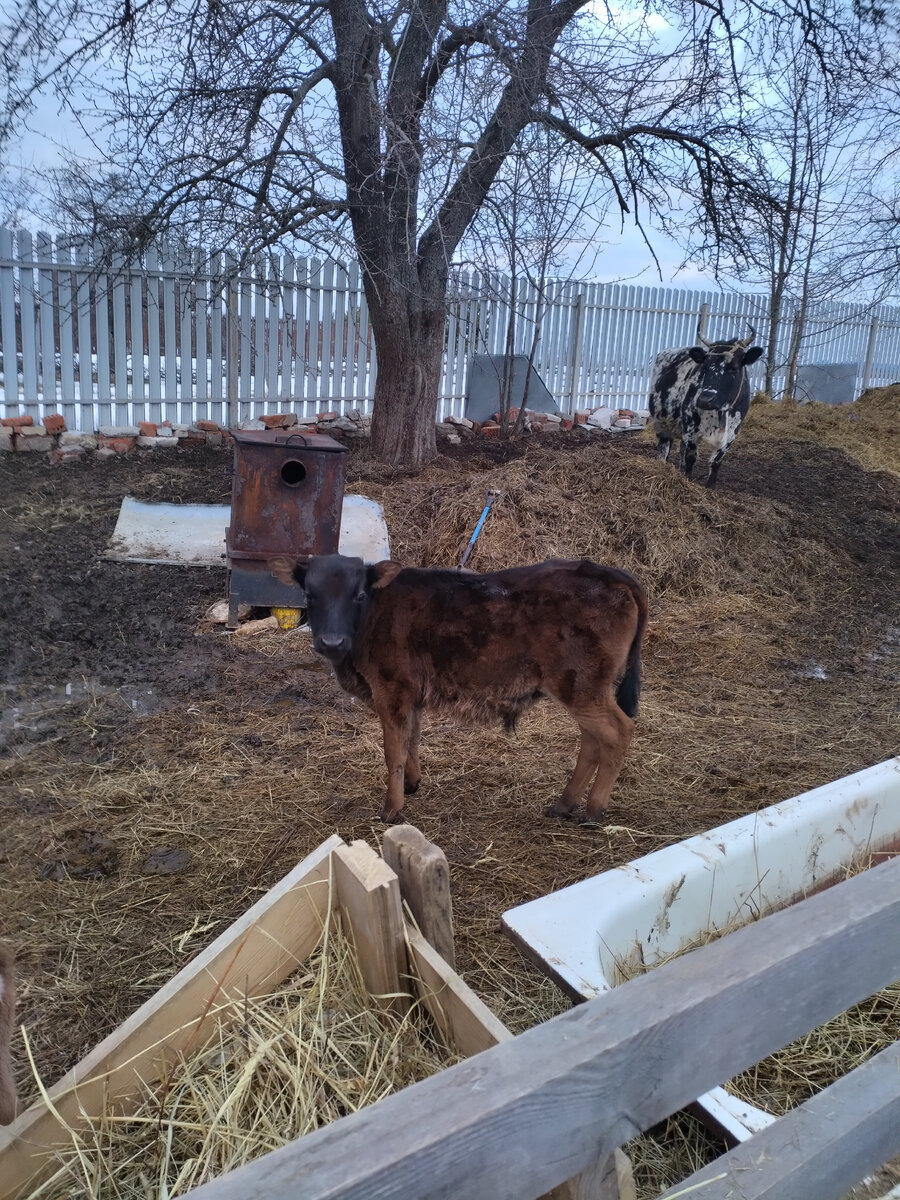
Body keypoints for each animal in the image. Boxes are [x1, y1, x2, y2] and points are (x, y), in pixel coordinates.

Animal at [271, 554, 652, 825]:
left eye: (359, 594)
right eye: (309, 595)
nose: (331, 642)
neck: (372, 616)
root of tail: (611, 573)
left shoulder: (391, 690)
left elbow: (393, 750)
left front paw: (391, 809)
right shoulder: (411, 695)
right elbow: (412, 739)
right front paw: (412, 784)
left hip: (582, 688)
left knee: (618, 731)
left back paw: (594, 811)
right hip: (585, 690)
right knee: (593, 740)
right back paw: (564, 804)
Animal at [652, 326, 763, 484]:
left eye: (733, 367)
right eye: (704, 367)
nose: (705, 399)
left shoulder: (731, 434)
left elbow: (715, 462)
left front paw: (709, 486)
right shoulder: (691, 429)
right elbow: (690, 458)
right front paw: (687, 480)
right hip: (663, 423)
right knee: (665, 448)